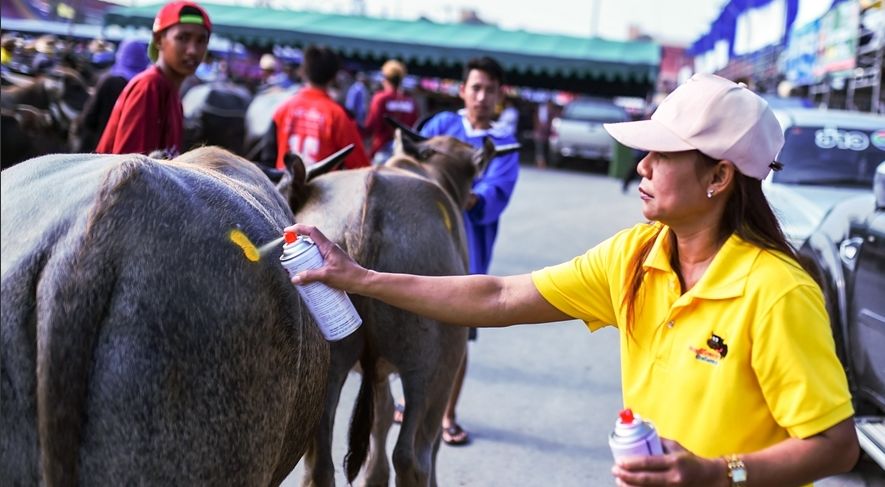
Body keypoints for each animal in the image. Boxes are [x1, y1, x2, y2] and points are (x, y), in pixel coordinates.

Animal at [284, 127, 516, 487]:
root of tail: (366, 209)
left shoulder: (376, 369)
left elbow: (381, 414)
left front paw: (374, 476)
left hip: (326, 367)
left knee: (318, 462)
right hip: (432, 365)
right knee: (414, 454)